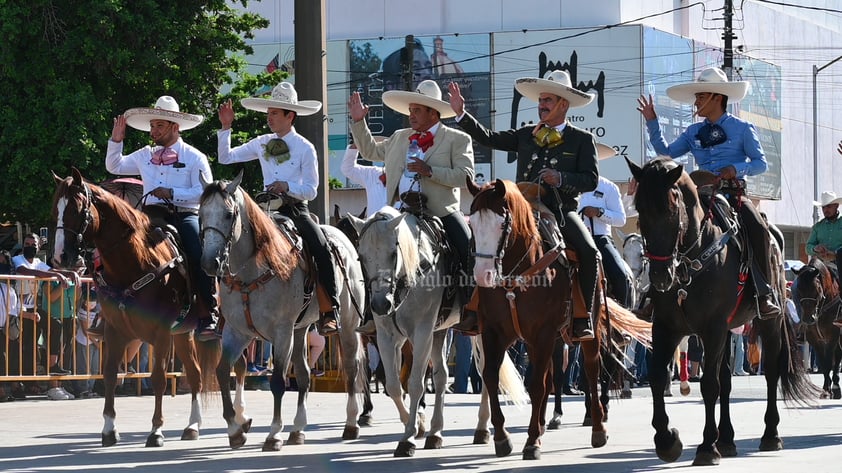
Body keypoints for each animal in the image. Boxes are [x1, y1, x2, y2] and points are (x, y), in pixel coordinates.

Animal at [50, 169, 218, 446]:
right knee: (195, 374)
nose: (60, 257)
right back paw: (192, 426)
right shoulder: (114, 330)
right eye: (55, 209)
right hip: (184, 333)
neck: (135, 262)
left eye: (76, 209)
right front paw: (109, 430)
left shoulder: (161, 332)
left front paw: (156, 431)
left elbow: (158, 378)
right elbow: (109, 375)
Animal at [199, 173, 370, 450]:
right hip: (300, 329)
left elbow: (278, 381)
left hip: (346, 323)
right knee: (303, 374)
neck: (253, 270)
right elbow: (223, 371)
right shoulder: (237, 332)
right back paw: (298, 429)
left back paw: (351, 423)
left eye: (228, 214)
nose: (209, 262)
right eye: (201, 213)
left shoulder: (281, 332)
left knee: (351, 366)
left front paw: (273, 434)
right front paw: (235, 430)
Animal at [462, 179, 648, 460]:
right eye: (471, 223)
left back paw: (597, 426)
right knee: (556, 376)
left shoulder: (543, 333)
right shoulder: (495, 332)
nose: (483, 275)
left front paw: (531, 443)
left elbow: (538, 385)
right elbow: (492, 377)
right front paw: (503, 437)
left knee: (593, 371)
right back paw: (545, 422)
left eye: (502, 224)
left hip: (587, 333)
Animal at [624, 158, 812, 464]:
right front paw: (667, 440)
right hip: (728, 330)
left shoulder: (712, 328)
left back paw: (770, 435)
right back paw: (726, 439)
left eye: (671, 209)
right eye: (640, 210)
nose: (661, 276)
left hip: (768, 323)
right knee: (726, 378)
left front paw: (705, 447)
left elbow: (709, 384)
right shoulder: (666, 327)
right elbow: (658, 377)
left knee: (771, 372)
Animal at [788, 258, 840, 398]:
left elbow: (830, 362)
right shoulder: (814, 339)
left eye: (816, 289)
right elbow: (823, 363)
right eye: (799, 289)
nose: (808, 318)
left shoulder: (833, 336)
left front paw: (831, 388)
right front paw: (826, 389)